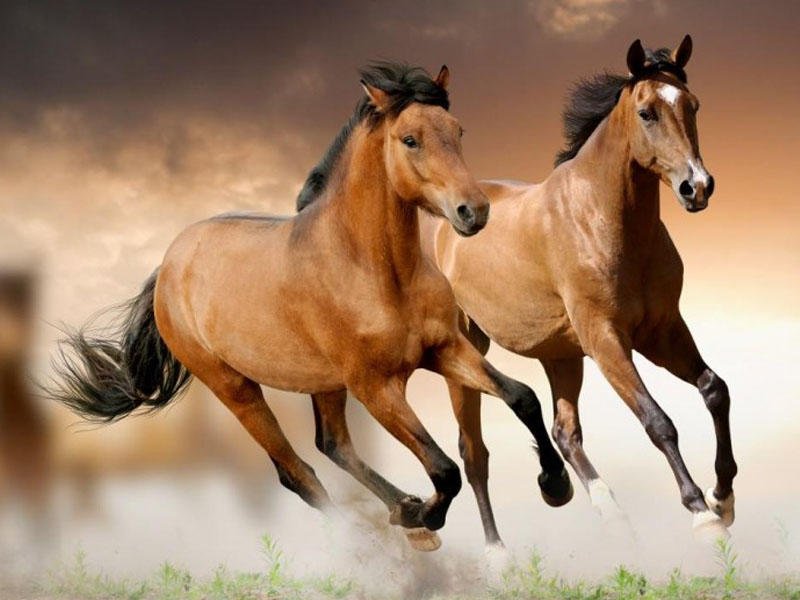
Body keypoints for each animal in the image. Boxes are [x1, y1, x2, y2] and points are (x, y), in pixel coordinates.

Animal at [47, 63, 571, 551]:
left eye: (458, 131)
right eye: (410, 139)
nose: (474, 212)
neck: (375, 269)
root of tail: (168, 266)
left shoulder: (444, 349)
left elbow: (522, 396)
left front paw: (555, 485)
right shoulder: (376, 386)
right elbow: (444, 469)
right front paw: (425, 516)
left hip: (324, 383)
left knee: (332, 445)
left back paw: (402, 510)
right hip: (236, 388)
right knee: (297, 473)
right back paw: (385, 537)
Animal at [418, 35, 737, 548]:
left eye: (693, 105)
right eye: (647, 112)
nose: (698, 187)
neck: (602, 219)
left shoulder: (662, 331)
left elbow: (714, 390)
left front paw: (722, 497)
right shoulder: (606, 339)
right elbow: (657, 421)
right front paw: (700, 512)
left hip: (561, 355)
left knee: (564, 432)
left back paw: (602, 508)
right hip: (466, 349)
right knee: (474, 454)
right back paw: (497, 552)